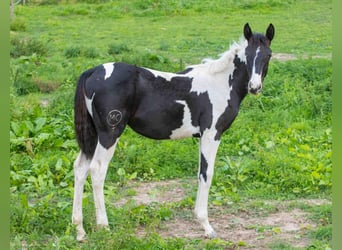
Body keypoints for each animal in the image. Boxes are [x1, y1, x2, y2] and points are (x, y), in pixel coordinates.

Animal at [72, 23, 276, 240]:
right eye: (248, 54)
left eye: (268, 55)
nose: (254, 87)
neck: (221, 83)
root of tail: (92, 71)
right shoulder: (211, 134)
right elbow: (207, 174)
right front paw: (207, 226)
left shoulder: (202, 137)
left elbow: (200, 173)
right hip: (109, 134)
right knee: (97, 169)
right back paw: (104, 226)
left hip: (93, 135)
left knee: (80, 168)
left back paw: (80, 229)